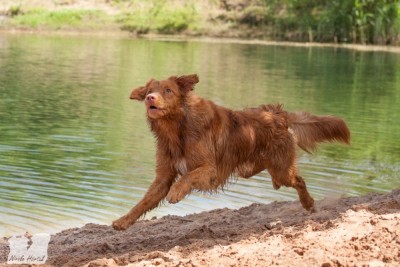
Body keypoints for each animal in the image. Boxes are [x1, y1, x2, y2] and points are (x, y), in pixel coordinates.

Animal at [111, 74, 348, 231]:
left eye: (168, 90)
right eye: (149, 90)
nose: (150, 98)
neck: (178, 129)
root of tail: (278, 114)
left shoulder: (210, 169)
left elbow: (187, 177)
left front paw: (176, 192)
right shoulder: (163, 176)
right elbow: (143, 203)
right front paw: (123, 221)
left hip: (282, 169)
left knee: (298, 180)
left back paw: (308, 203)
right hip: (252, 168)